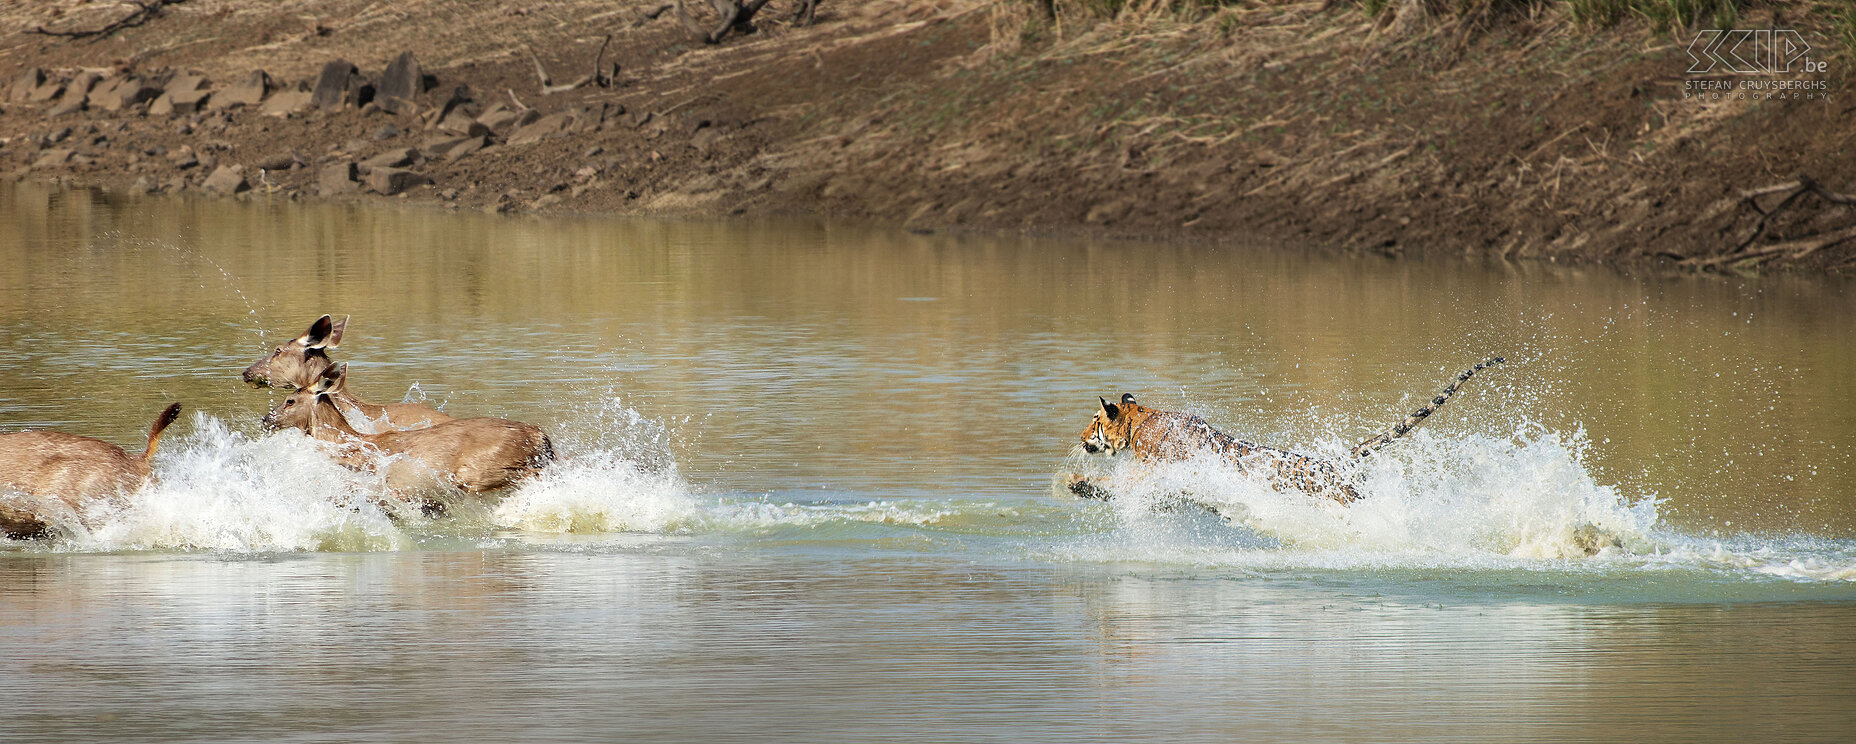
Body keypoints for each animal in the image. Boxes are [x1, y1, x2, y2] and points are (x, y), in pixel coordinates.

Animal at [1076, 356, 1507, 500]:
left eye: (1093, 421)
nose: (1079, 439)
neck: (1140, 420)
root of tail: (1336, 461)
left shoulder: (1151, 470)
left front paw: (1077, 483)